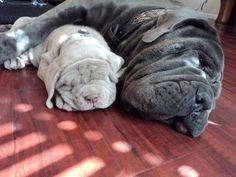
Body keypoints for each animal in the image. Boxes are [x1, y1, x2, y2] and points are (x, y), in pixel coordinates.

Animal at [0, 0, 224, 137]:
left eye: (217, 92)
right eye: (201, 61)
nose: (204, 102)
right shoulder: (77, 5)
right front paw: (6, 47)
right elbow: (35, 29)